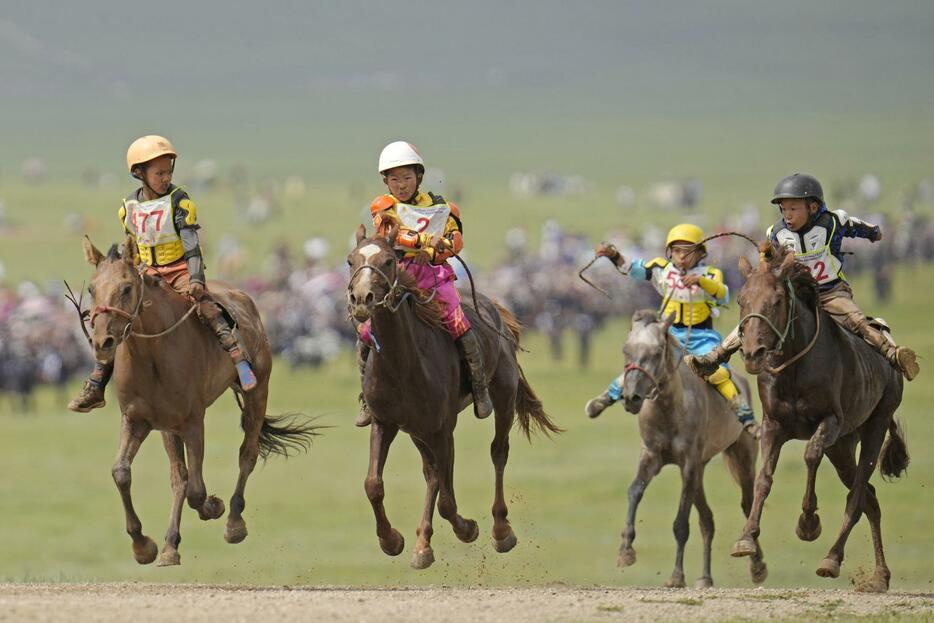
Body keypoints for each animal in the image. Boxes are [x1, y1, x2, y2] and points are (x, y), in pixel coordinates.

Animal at [81, 236, 314, 568]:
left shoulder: (193, 421)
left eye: (126, 288)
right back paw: (170, 545)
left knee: (247, 454)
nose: (102, 343)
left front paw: (213, 507)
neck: (152, 354)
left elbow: (196, 490)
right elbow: (123, 473)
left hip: (257, 392)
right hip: (168, 426)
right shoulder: (139, 419)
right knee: (178, 477)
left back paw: (234, 522)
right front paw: (143, 546)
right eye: (91, 288)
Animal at [348, 225, 560, 572]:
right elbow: (373, 485)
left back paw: (501, 531)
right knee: (432, 471)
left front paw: (462, 531)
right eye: (351, 260)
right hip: (418, 429)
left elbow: (445, 497)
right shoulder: (386, 422)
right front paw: (391, 540)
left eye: (390, 261)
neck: (403, 363)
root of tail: (495, 308)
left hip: (502, 394)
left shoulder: (442, 427)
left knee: (497, 452)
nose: (361, 298)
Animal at [596, 312, 772, 588]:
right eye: (626, 349)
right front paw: (626, 551)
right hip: (700, 469)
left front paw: (676, 576)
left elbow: (681, 523)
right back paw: (705, 577)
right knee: (707, 520)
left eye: (657, 352)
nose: (631, 397)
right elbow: (634, 491)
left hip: (741, 454)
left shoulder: (688, 462)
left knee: (746, 503)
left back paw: (756, 565)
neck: (670, 408)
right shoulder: (652, 455)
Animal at [732, 241, 908, 592]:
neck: (795, 367)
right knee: (870, 499)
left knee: (857, 494)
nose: (753, 353)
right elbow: (763, 478)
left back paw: (832, 559)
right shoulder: (774, 425)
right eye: (742, 300)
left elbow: (811, 455)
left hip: (876, 422)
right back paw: (880, 576)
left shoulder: (830, 421)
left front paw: (808, 522)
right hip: (842, 447)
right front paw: (746, 538)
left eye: (776, 301)